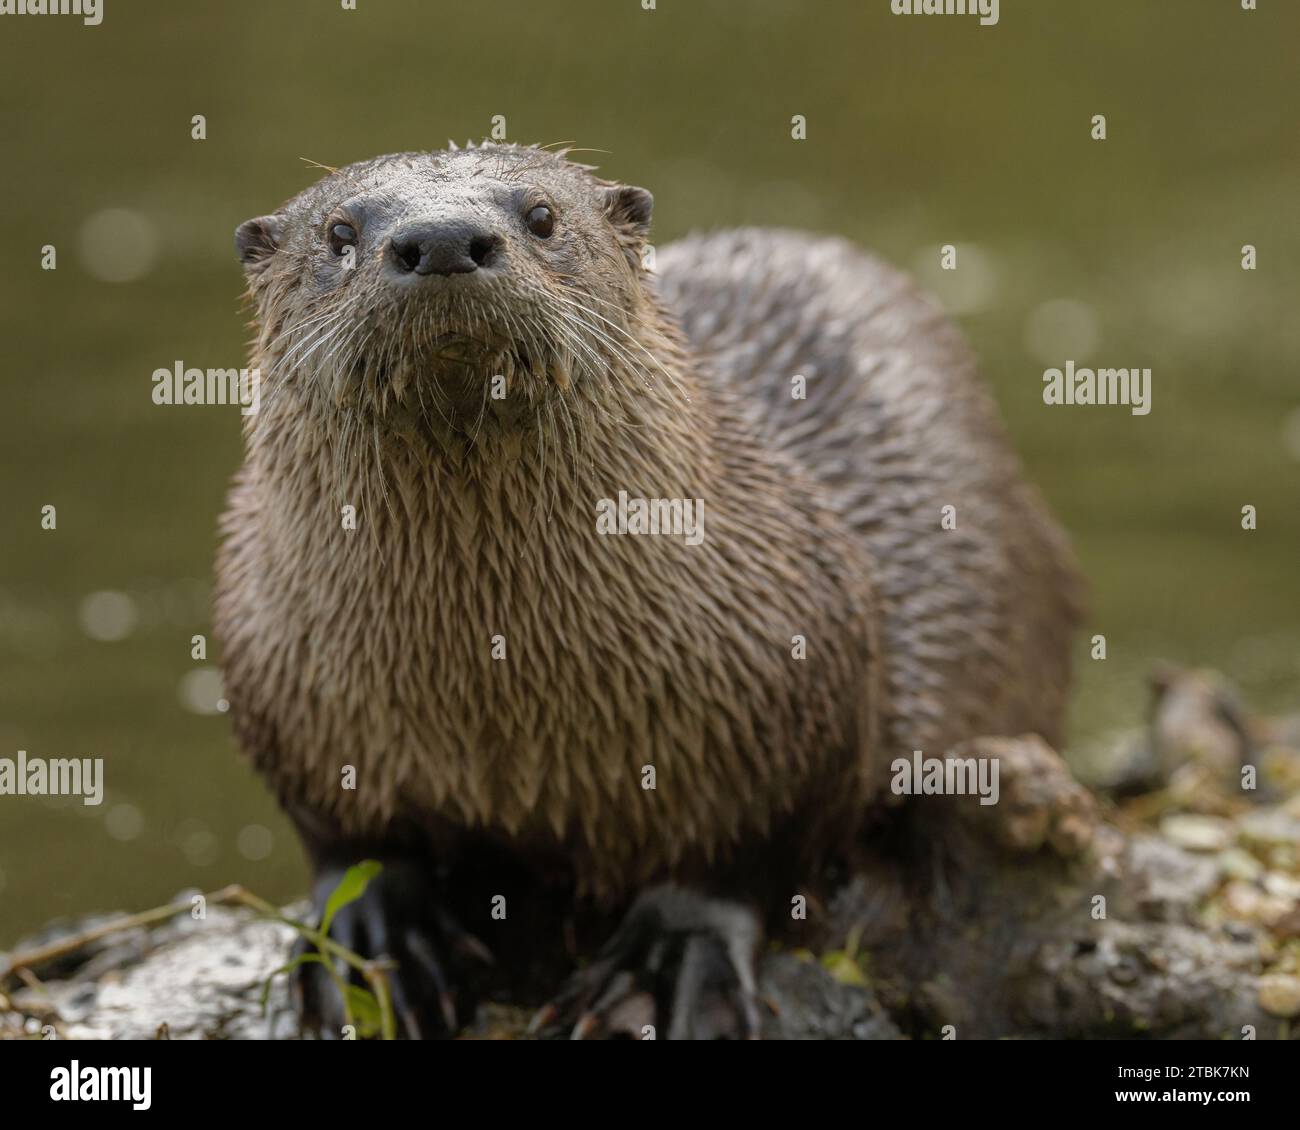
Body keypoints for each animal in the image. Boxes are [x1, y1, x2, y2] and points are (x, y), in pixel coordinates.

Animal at [215, 143, 1083, 1039]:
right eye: (338, 232)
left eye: (542, 216)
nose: (445, 240)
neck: (492, 687)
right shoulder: (278, 672)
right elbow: (349, 841)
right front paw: (376, 935)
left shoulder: (795, 675)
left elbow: (746, 851)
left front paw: (669, 957)